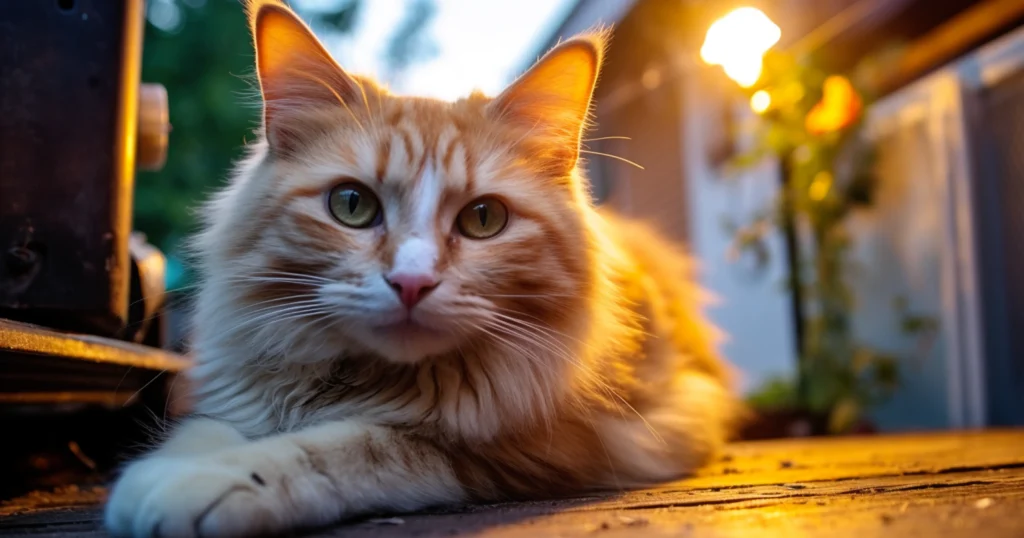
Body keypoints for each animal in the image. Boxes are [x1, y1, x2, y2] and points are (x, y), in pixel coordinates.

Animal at [103, 2, 741, 532]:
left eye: (484, 219)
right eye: (352, 205)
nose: (411, 282)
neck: (366, 379)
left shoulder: (541, 445)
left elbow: (344, 446)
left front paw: (208, 482)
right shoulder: (243, 396)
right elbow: (202, 432)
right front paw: (156, 479)